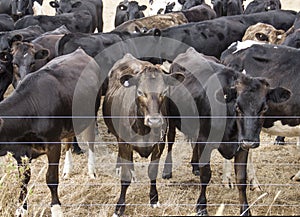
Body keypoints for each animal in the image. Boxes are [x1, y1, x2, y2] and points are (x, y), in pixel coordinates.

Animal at [102, 53, 184, 217]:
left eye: (164, 91)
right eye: (140, 92)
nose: (154, 120)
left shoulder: (159, 144)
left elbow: (152, 172)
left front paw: (154, 199)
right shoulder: (124, 143)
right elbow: (125, 177)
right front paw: (119, 207)